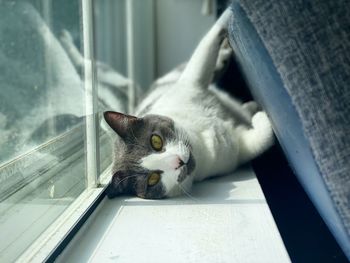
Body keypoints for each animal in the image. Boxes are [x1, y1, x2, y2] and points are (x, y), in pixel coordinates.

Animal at [104, 8, 276, 200]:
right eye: (153, 179)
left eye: (156, 141)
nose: (178, 162)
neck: (203, 144)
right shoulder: (235, 152)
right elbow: (261, 141)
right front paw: (261, 115)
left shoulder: (192, 82)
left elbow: (207, 45)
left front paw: (231, 11)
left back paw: (225, 53)